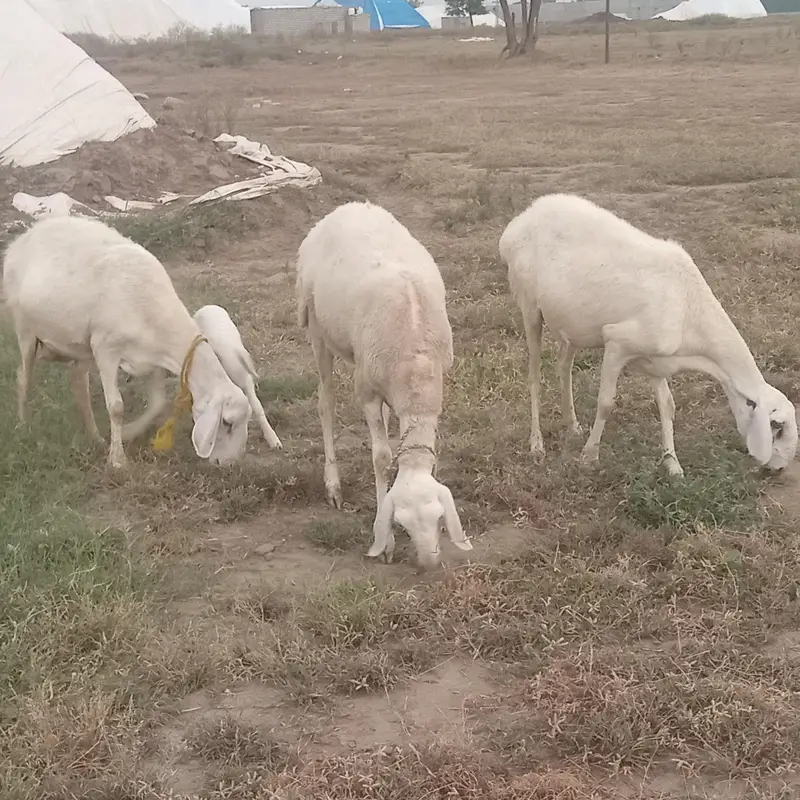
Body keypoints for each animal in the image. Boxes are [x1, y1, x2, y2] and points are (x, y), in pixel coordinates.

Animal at [3, 216, 252, 469]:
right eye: (227, 423)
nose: (228, 463)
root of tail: (22, 239)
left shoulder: (152, 359)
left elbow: (157, 403)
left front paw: (129, 432)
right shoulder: (106, 350)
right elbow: (116, 407)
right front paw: (118, 460)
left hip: (78, 344)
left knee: (78, 382)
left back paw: (94, 436)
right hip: (26, 330)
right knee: (24, 376)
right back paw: (23, 426)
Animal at [296, 201, 473, 569]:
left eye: (439, 520)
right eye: (402, 524)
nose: (429, 563)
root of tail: (348, 206)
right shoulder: (366, 389)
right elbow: (380, 456)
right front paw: (386, 543)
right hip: (317, 327)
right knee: (325, 402)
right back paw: (333, 485)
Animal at [499, 193, 798, 475]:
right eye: (778, 427)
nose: (780, 468)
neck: (689, 311)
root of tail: (516, 225)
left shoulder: (656, 359)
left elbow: (667, 405)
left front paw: (672, 463)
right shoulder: (617, 342)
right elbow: (606, 403)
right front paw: (589, 457)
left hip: (572, 320)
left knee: (564, 366)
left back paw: (572, 425)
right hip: (529, 305)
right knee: (534, 377)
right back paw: (536, 444)